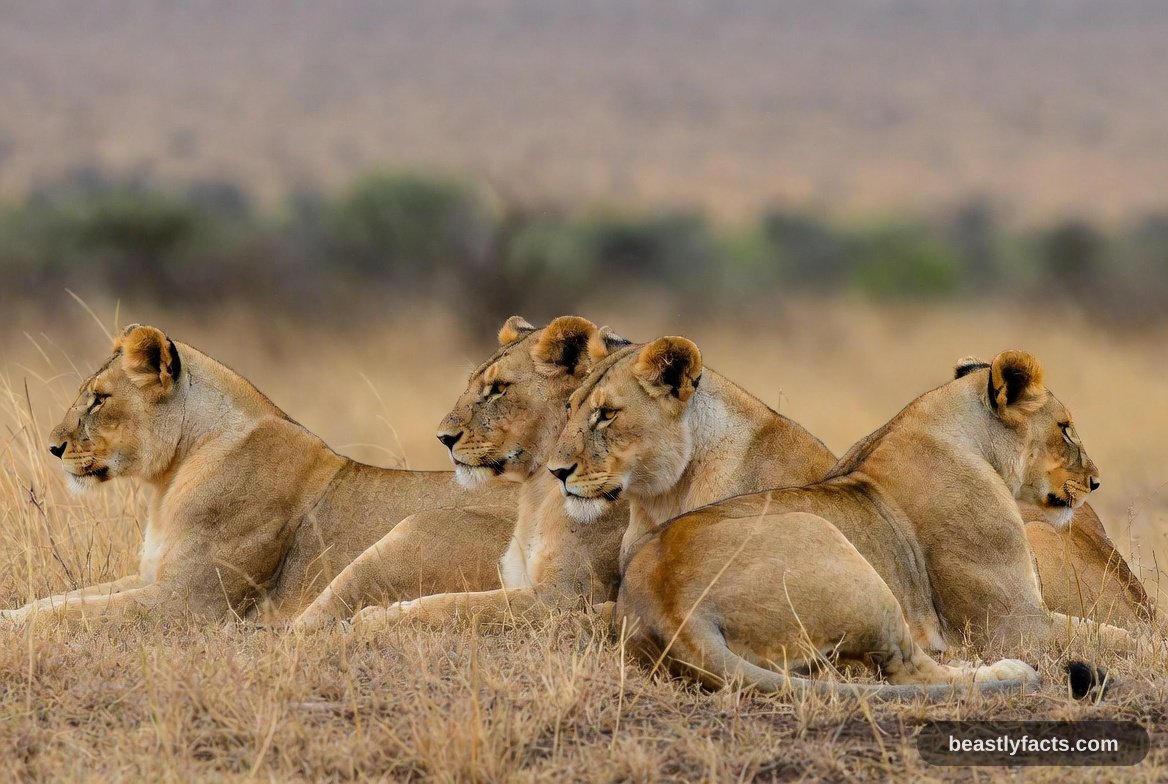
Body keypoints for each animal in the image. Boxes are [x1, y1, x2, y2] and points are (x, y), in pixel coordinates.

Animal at [1, 324, 516, 625]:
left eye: (99, 399)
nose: (53, 447)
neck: (171, 477)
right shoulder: (151, 575)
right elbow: (59, 600)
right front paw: (12, 615)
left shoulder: (187, 602)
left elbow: (72, 612)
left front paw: (15, 633)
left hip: (407, 535)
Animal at [548, 341, 1149, 695]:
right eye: (1066, 428)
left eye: (602, 413)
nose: (1095, 481)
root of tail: (668, 608)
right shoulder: (1011, 623)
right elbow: (1126, 636)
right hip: (839, 550)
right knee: (913, 672)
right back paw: (1013, 675)